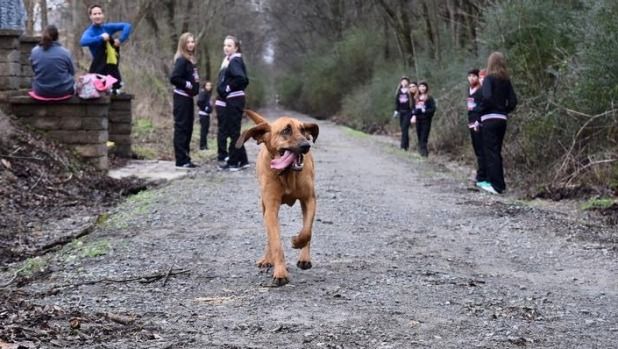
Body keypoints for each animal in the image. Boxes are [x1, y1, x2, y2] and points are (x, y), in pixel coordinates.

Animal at [233, 109, 316, 286]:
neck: (287, 174)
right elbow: (276, 242)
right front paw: (280, 272)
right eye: (286, 130)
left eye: (303, 130)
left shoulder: (309, 200)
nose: (306, 145)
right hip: (264, 206)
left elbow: (307, 231)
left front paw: (297, 242)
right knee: (269, 236)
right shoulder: (270, 208)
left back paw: (304, 258)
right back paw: (267, 259)